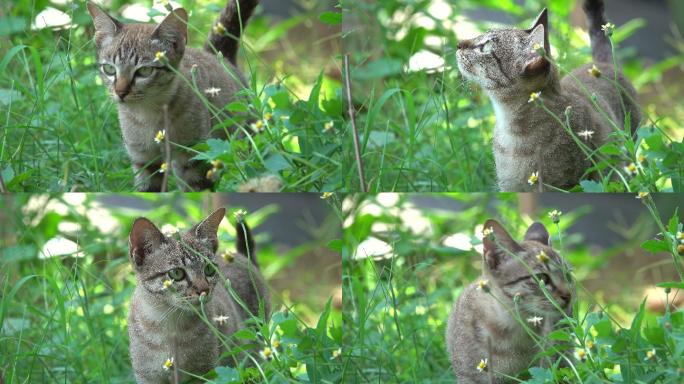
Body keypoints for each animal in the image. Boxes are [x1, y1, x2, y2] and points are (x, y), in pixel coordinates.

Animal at [85, 0, 256, 192]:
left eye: (144, 71)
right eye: (109, 69)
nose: (120, 92)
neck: (149, 115)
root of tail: (218, 56)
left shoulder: (195, 156)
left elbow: (197, 191)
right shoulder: (143, 160)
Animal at [128, 208, 270, 382]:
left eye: (208, 269)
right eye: (176, 273)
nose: (204, 289)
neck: (170, 323)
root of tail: (242, 256)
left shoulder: (206, 372)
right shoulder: (148, 376)